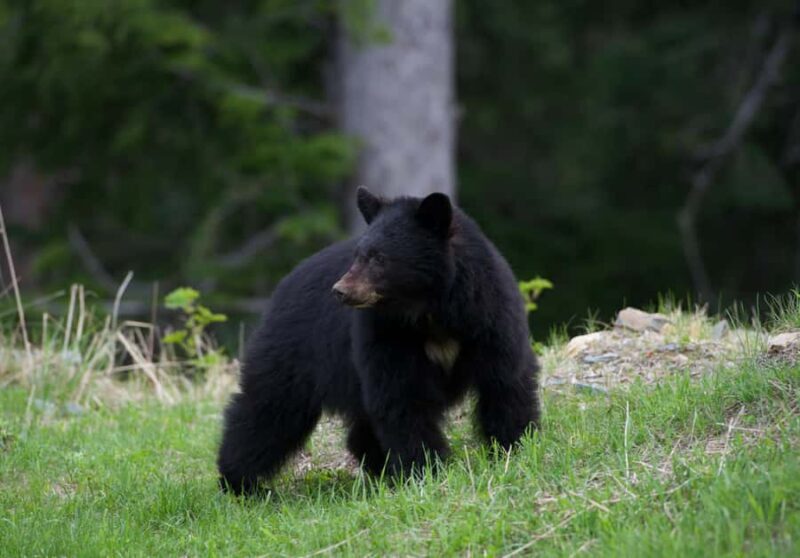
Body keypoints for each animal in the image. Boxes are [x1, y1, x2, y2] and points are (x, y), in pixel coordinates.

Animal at [217, 187, 540, 495]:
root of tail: (283, 285)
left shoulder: (487, 317)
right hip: (296, 354)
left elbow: (504, 381)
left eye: (380, 258)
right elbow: (402, 397)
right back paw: (241, 482)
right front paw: (426, 468)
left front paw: (514, 446)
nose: (340, 290)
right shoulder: (384, 333)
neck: (429, 311)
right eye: (358, 255)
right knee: (268, 412)